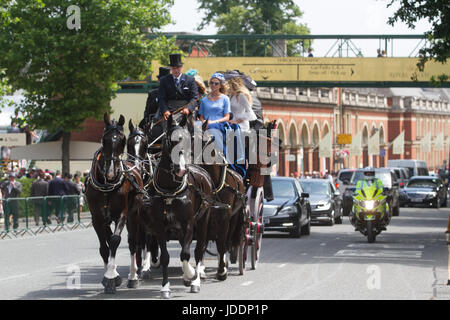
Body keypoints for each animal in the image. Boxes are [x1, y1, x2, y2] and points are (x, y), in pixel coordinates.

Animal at [86, 114, 144, 294]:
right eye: (104, 140)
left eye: (122, 140)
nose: (111, 172)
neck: (106, 185)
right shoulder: (97, 218)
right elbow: (104, 247)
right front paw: (109, 276)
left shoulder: (122, 214)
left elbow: (114, 240)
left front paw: (111, 277)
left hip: (135, 214)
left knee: (133, 243)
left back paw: (133, 276)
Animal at [140, 114, 215, 298]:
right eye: (170, 140)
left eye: (187, 140)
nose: (180, 169)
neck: (170, 190)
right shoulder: (160, 226)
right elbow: (167, 257)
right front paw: (165, 287)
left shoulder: (188, 223)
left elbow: (186, 253)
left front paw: (191, 275)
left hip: (203, 221)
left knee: (198, 249)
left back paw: (195, 279)